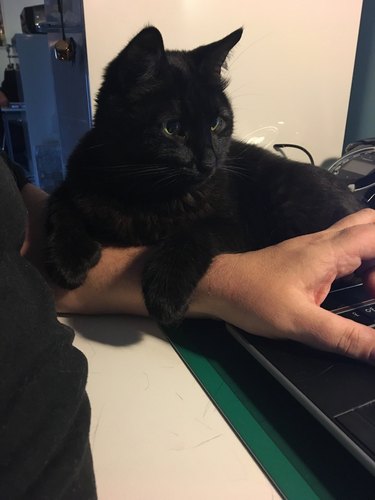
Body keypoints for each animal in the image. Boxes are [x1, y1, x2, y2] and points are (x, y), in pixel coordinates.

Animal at [44, 26, 364, 324]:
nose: (209, 162)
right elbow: (58, 205)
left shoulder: (235, 226)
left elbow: (195, 231)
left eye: (216, 123)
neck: (145, 194)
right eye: (172, 128)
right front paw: (70, 257)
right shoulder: (75, 180)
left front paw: (166, 291)